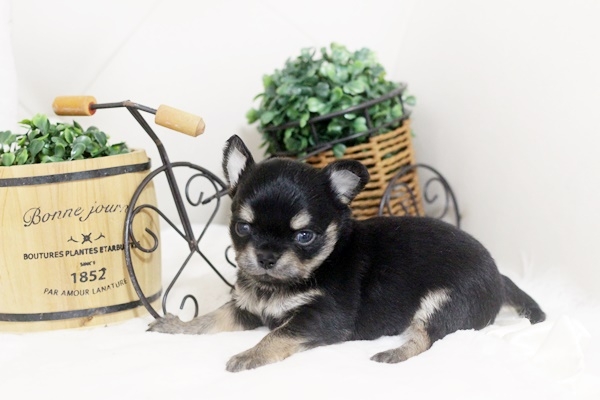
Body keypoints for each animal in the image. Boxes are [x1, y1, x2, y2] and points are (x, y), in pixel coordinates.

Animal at [148, 134, 546, 372]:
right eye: (243, 228)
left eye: (304, 236)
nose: (266, 258)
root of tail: (498, 276)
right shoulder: (245, 309)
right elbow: (208, 319)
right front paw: (177, 326)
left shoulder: (321, 317)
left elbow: (277, 335)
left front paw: (250, 354)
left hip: (444, 302)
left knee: (429, 338)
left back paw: (392, 353)